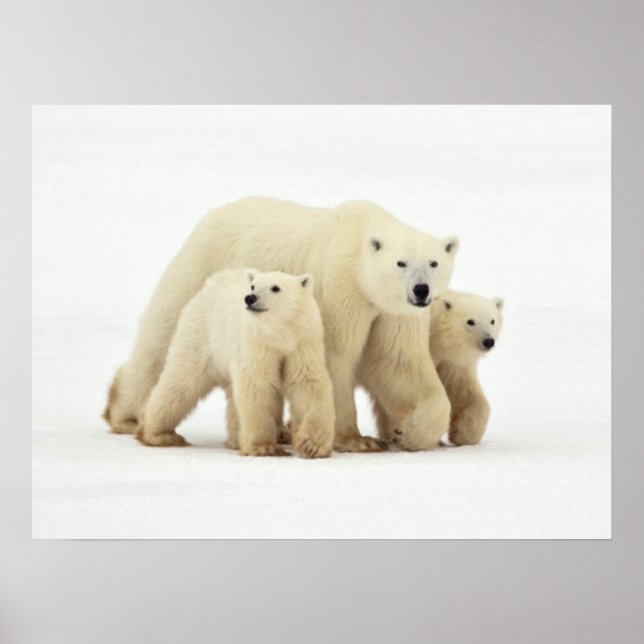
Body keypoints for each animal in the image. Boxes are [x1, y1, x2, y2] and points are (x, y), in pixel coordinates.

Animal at [135, 268, 335, 458]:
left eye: (275, 288)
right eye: (253, 286)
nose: (250, 298)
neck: (279, 334)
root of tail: (214, 280)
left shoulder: (303, 344)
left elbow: (307, 384)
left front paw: (312, 446)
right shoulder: (256, 345)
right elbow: (257, 387)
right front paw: (264, 448)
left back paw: (235, 440)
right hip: (202, 336)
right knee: (181, 382)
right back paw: (159, 434)